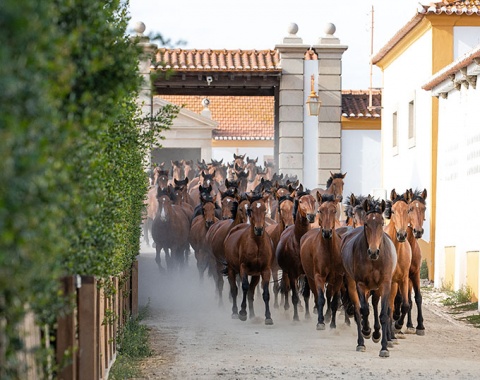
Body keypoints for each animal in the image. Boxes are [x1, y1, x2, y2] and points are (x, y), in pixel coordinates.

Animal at [224, 193, 274, 324]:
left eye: (264, 210)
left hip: (256, 275)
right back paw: (235, 312)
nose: (259, 229)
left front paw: (268, 317)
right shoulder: (243, 268)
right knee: (235, 289)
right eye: (251, 210)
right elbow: (244, 287)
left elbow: (265, 293)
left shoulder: (265, 270)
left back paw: (252, 315)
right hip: (231, 269)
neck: (257, 244)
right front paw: (242, 312)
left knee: (251, 292)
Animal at [276, 187, 316, 320]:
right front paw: (295, 317)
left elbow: (306, 294)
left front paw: (308, 316)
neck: (299, 242)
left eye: (314, 200)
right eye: (301, 201)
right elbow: (293, 294)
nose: (311, 216)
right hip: (286, 271)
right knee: (286, 287)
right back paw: (286, 307)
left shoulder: (307, 273)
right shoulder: (292, 272)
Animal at [298, 193, 344, 330]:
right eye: (320, 210)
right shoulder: (319, 276)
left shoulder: (338, 278)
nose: (327, 232)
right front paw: (320, 322)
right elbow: (320, 299)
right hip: (310, 277)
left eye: (334, 211)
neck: (329, 251)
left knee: (329, 294)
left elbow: (334, 300)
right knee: (317, 294)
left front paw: (332, 323)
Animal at [342, 197, 398, 358]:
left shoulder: (385, 284)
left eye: (382, 223)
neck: (374, 261)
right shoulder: (360, 284)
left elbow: (383, 314)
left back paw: (376, 333)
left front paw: (384, 347)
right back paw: (361, 341)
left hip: (376, 287)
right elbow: (364, 310)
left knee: (374, 303)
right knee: (358, 309)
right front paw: (366, 331)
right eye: (367, 224)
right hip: (353, 284)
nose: (373, 252)